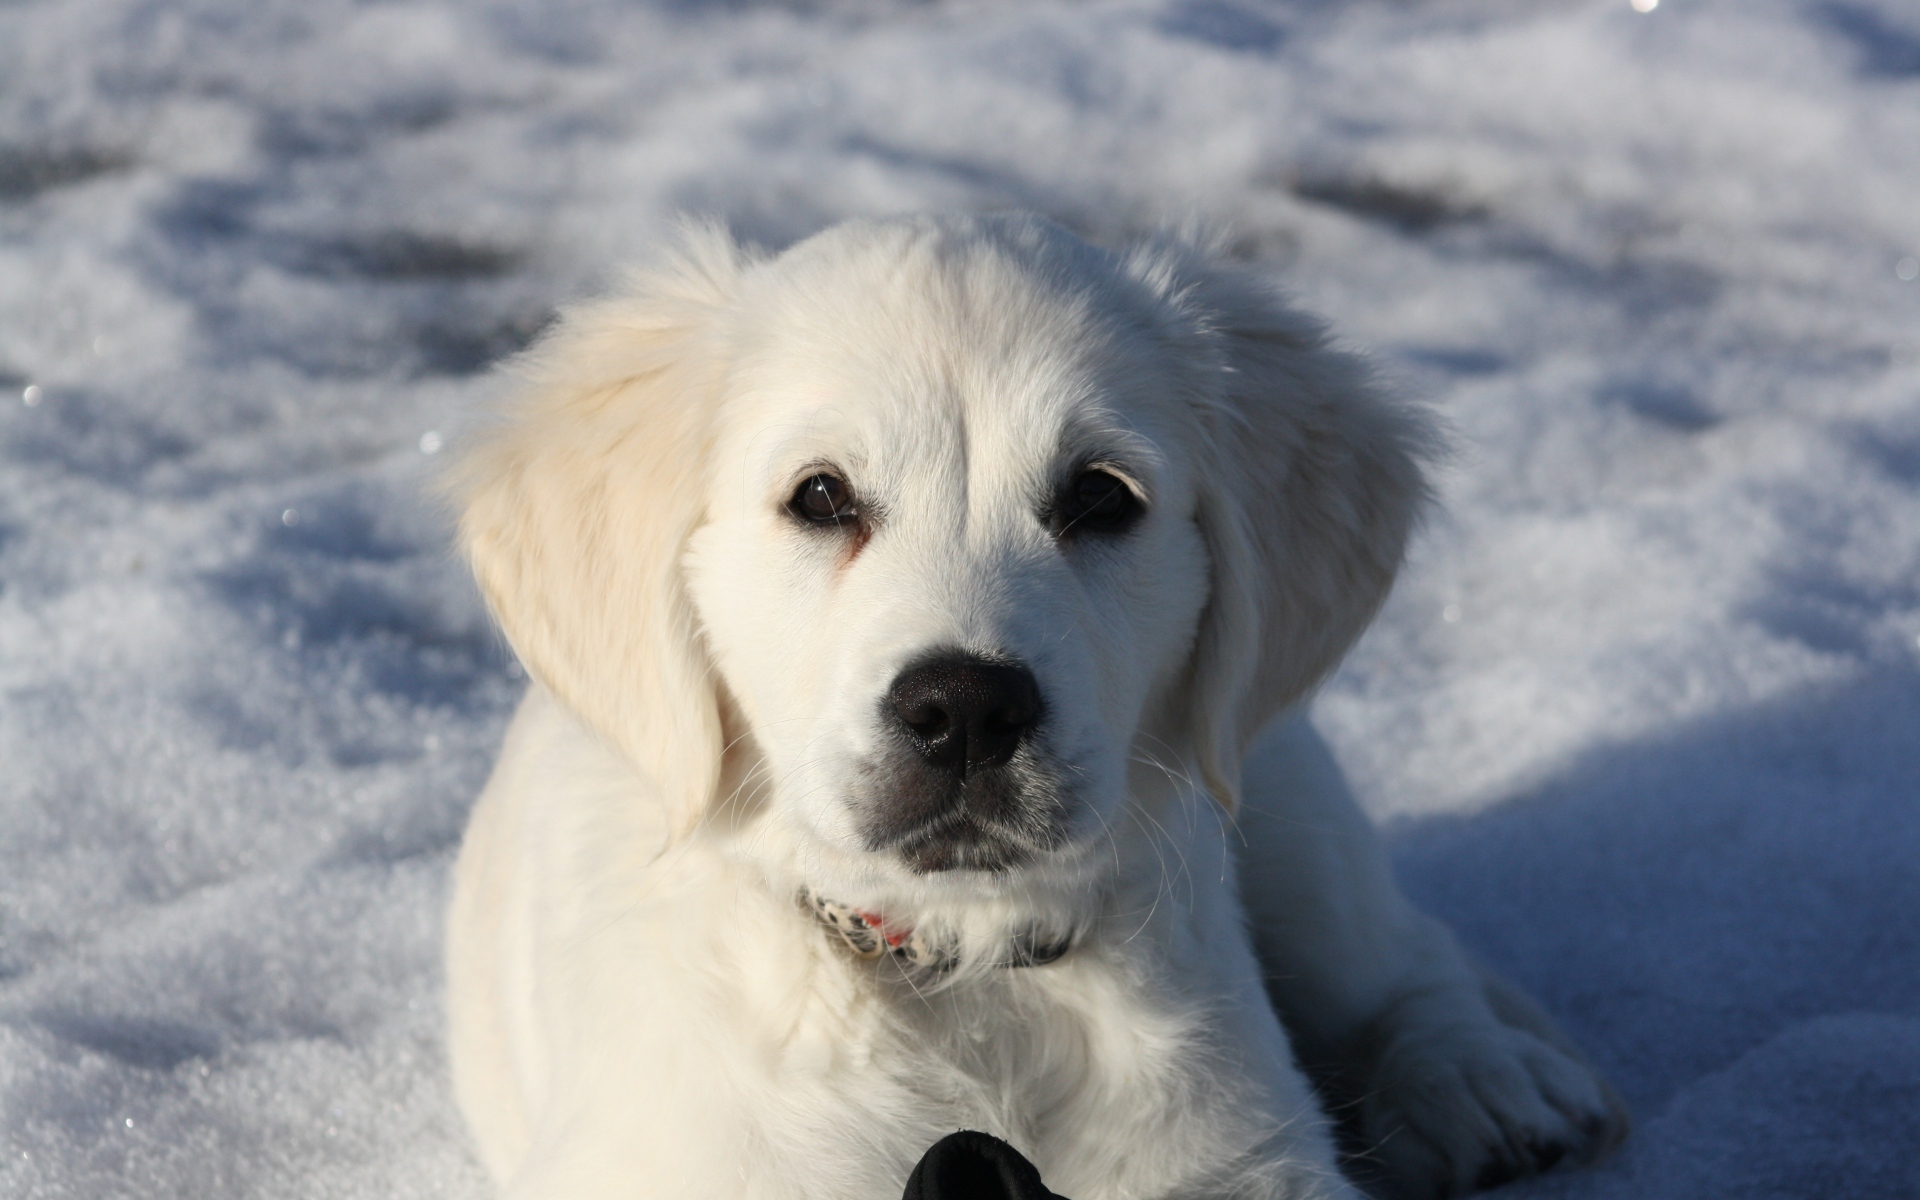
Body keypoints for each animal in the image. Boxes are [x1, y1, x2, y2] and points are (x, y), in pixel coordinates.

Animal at [441, 215, 1628, 1198]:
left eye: (1101, 497)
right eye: (820, 496)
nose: (965, 709)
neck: (963, 977)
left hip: (1284, 798)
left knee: (1402, 953)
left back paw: (1484, 1084)